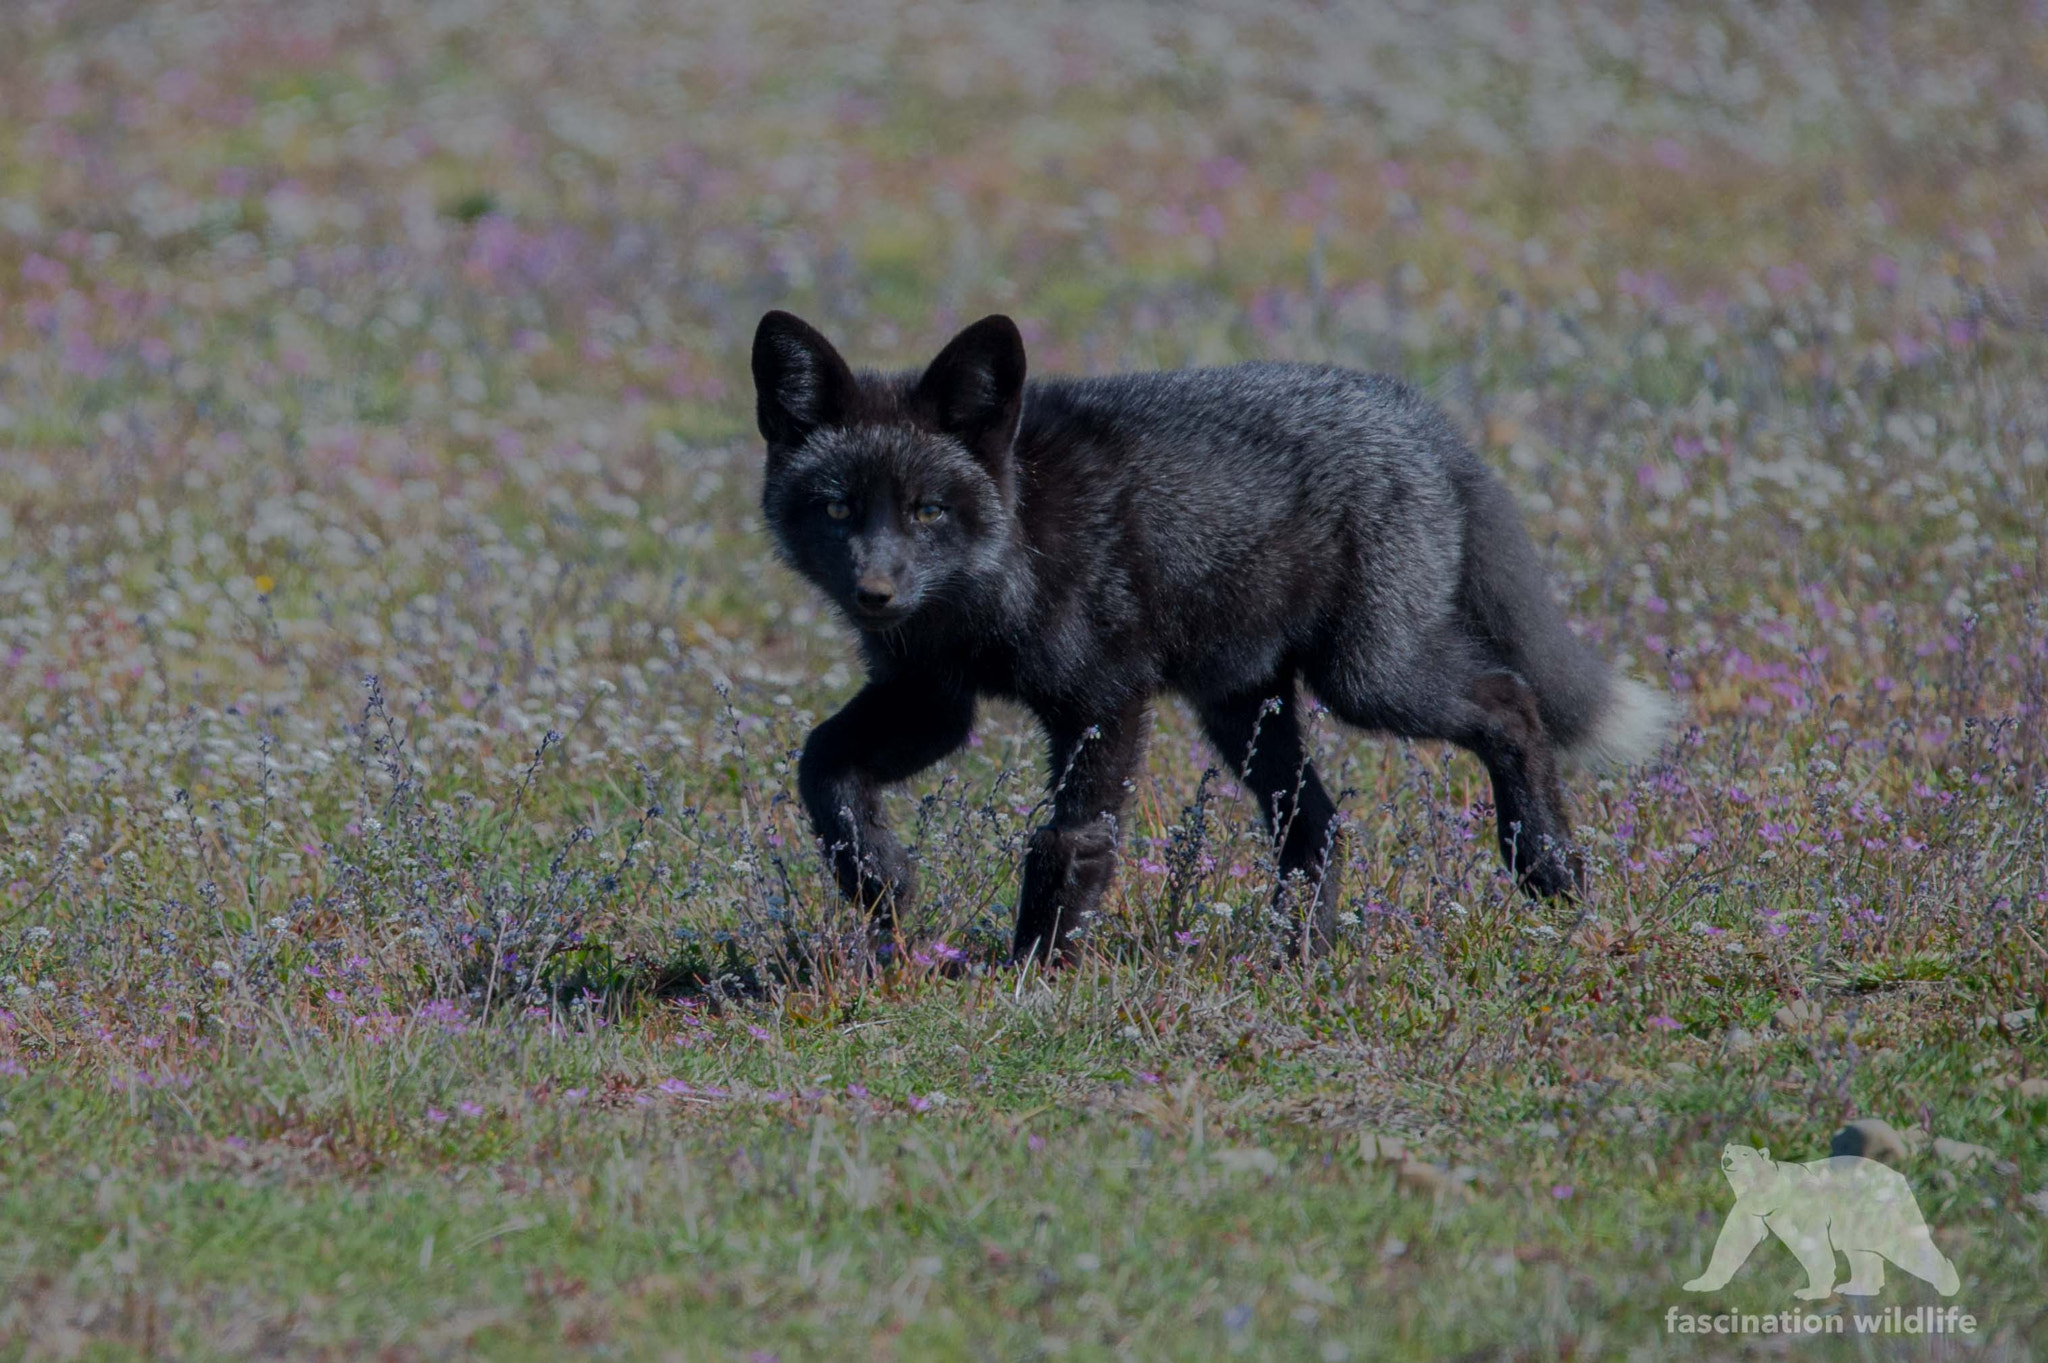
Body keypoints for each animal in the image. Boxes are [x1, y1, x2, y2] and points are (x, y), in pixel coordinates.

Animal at [751, 309, 1674, 963]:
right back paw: (1296, 958)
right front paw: (878, 879)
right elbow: (820, 764)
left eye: (927, 511)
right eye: (838, 508)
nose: (874, 593)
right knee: (1318, 825)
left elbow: (1070, 839)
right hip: (1241, 711)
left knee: (1510, 701)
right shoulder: (931, 697)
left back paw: (1547, 865)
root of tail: (1421, 416)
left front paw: (1033, 973)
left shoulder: (1103, 701)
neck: (999, 574)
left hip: (1369, 679)